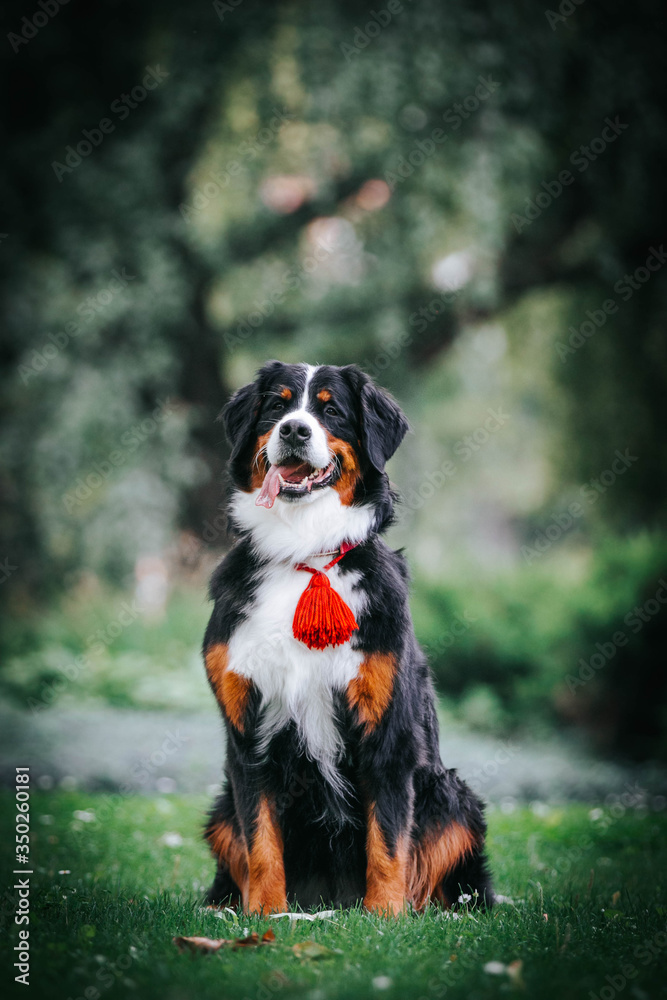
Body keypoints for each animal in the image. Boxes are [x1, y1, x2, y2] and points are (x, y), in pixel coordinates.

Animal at [201, 360, 494, 916]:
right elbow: (260, 840)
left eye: (331, 409)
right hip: (220, 808)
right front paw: (264, 914)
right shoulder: (247, 730)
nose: (294, 430)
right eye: (277, 405)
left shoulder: (388, 732)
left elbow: (388, 841)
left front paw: (385, 917)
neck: (303, 553)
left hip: (454, 799)